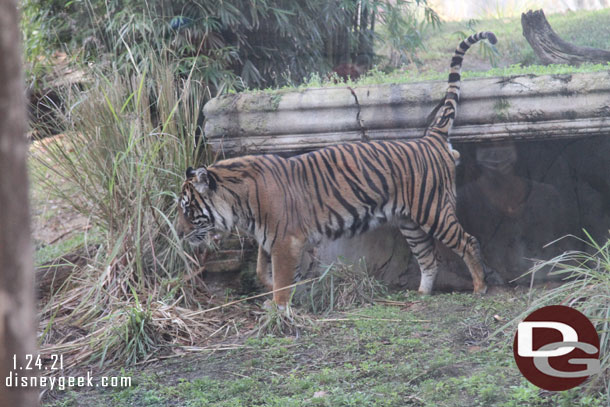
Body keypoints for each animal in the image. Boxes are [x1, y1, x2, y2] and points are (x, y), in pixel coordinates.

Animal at [175, 31, 494, 308]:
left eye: (188, 209)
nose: (178, 234)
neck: (239, 206)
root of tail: (430, 138)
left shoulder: (284, 241)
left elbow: (281, 277)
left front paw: (279, 308)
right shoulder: (270, 241)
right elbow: (262, 271)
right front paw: (277, 292)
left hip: (434, 210)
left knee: (468, 241)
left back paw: (480, 287)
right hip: (410, 222)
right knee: (429, 258)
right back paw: (422, 293)